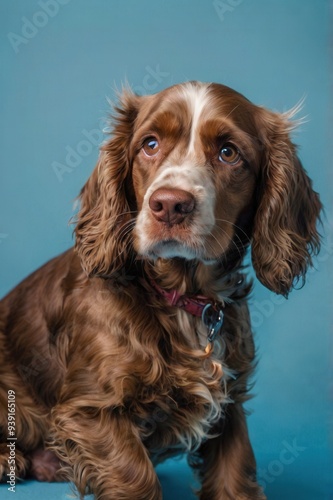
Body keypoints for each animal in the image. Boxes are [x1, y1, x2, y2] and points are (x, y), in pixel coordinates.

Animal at [0, 83, 322, 500]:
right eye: (150, 144)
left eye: (229, 152)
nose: (169, 204)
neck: (181, 298)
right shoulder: (91, 408)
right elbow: (135, 476)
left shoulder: (229, 399)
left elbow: (235, 471)